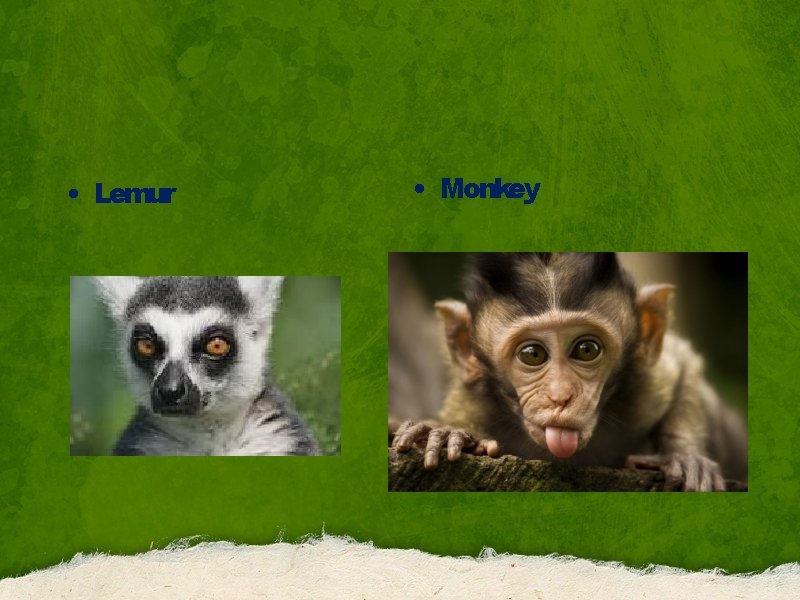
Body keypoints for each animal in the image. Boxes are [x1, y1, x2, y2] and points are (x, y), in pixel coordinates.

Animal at [391, 253, 747, 491]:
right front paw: (449, 433)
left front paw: (685, 456)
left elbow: (684, 364)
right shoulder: (474, 401)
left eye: (586, 350)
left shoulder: (646, 388)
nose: (560, 396)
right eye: (532, 354)